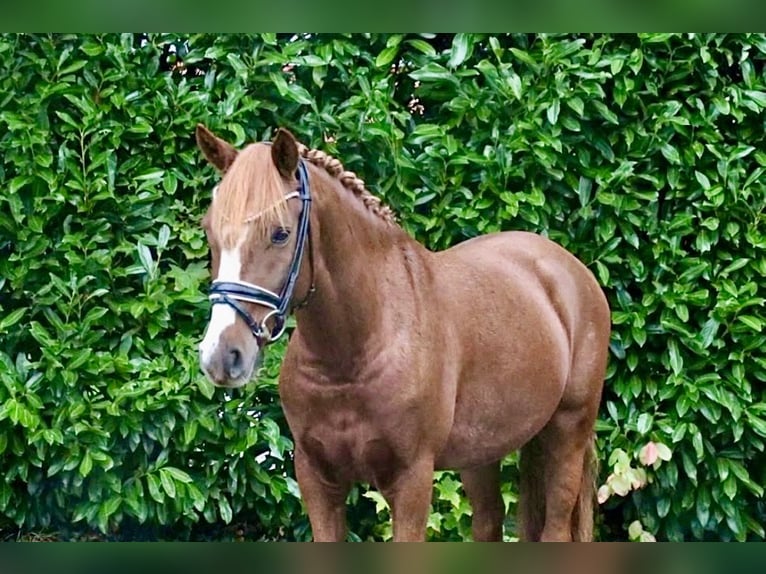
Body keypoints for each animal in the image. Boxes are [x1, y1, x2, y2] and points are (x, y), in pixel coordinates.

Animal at [195, 124, 611, 542]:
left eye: (280, 234)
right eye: (209, 231)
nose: (222, 355)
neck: (353, 355)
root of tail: (570, 269)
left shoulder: (411, 479)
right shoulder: (317, 479)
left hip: (568, 431)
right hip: (483, 451)